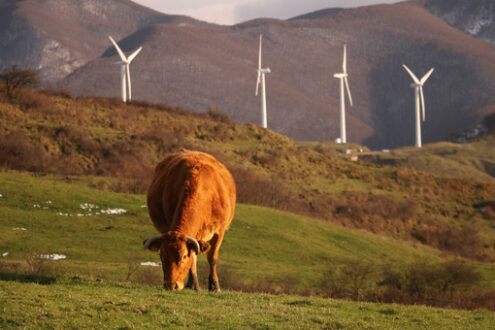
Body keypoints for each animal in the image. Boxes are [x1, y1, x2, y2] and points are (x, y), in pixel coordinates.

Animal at [143, 150, 236, 292]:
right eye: (161, 256)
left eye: (184, 256)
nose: (171, 285)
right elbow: (194, 259)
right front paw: (194, 285)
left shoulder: (219, 231)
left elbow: (212, 257)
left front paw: (214, 286)